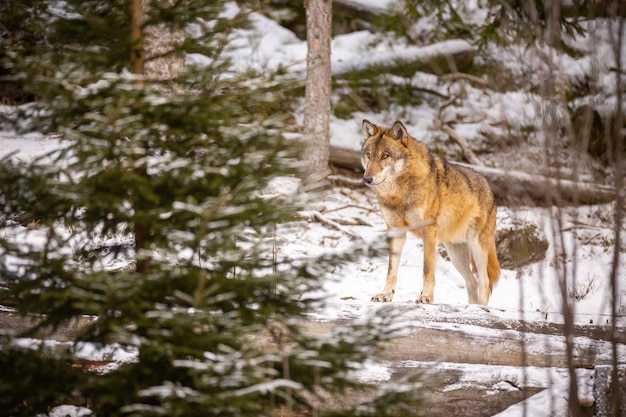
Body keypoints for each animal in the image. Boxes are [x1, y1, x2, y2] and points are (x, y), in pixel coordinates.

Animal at [360, 118, 498, 304]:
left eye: (385, 156)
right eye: (369, 155)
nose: (367, 178)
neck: (399, 194)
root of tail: (489, 187)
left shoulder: (429, 231)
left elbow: (427, 269)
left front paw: (426, 296)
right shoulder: (395, 231)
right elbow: (391, 270)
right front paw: (386, 295)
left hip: (477, 247)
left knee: (484, 282)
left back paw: (481, 309)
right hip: (456, 255)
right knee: (471, 283)